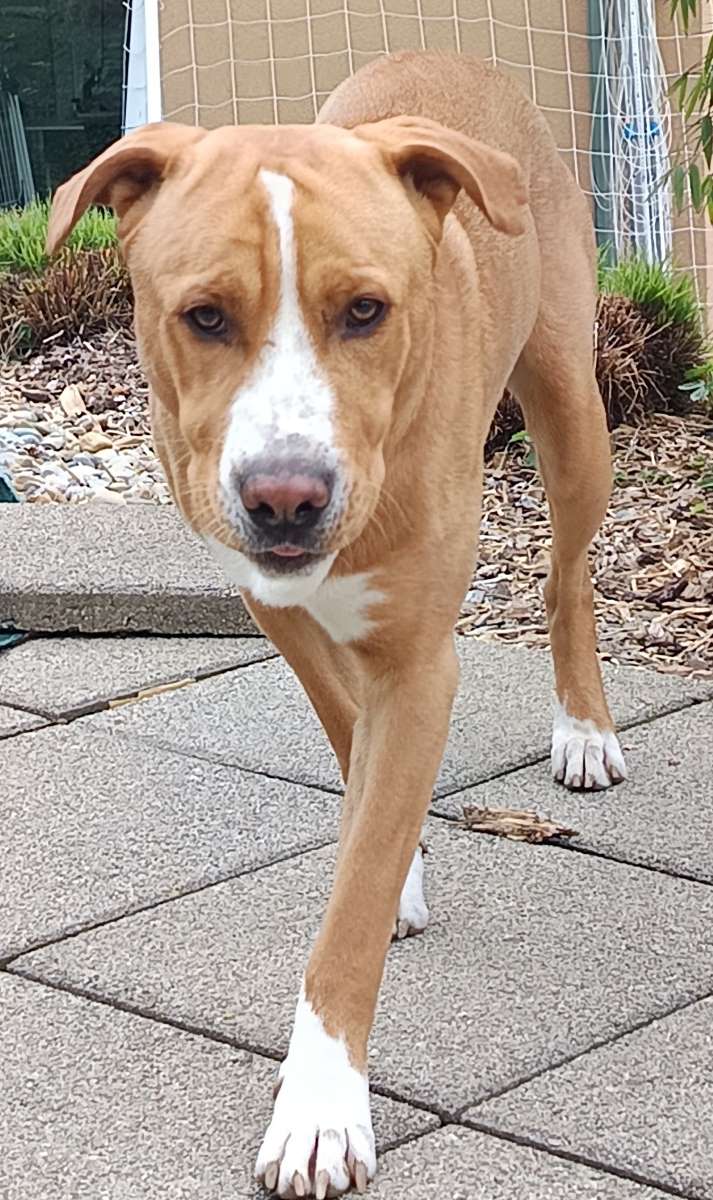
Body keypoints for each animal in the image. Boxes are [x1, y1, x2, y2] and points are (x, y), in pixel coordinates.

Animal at [48, 49, 627, 1198]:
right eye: (203, 316)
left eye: (365, 310)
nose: (287, 498)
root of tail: (446, 55)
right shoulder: (267, 600)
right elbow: (344, 729)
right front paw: (395, 847)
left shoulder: (420, 665)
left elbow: (350, 907)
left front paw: (318, 1106)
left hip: (571, 408)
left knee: (566, 574)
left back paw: (583, 729)